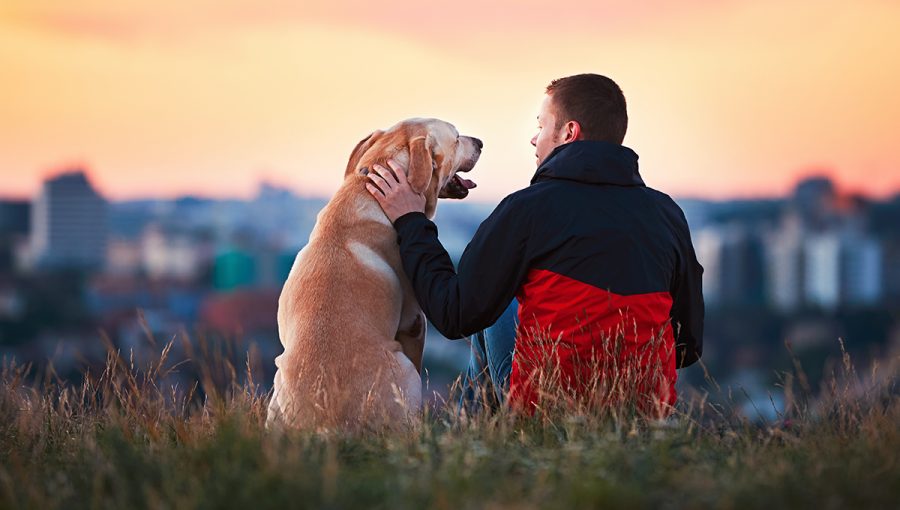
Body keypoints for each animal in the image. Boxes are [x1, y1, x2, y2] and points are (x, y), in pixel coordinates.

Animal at [266, 118, 482, 430]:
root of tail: (325, 425)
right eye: (455, 138)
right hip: (405, 371)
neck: (367, 190)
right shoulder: (415, 321)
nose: (480, 142)